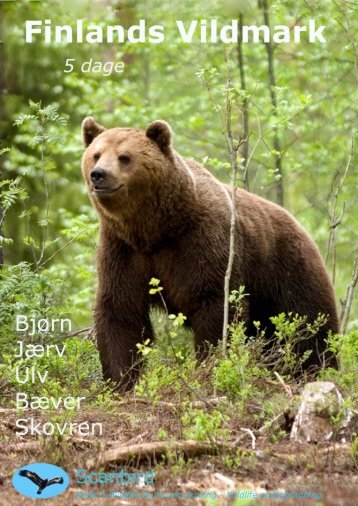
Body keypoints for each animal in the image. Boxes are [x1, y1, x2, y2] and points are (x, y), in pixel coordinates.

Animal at [80, 116, 338, 390]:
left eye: (124, 157)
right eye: (96, 155)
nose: (99, 174)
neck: (156, 229)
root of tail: (304, 230)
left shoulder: (203, 241)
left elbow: (215, 303)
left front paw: (209, 365)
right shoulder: (123, 250)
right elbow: (120, 311)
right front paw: (121, 380)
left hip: (289, 273)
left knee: (310, 330)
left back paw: (319, 370)